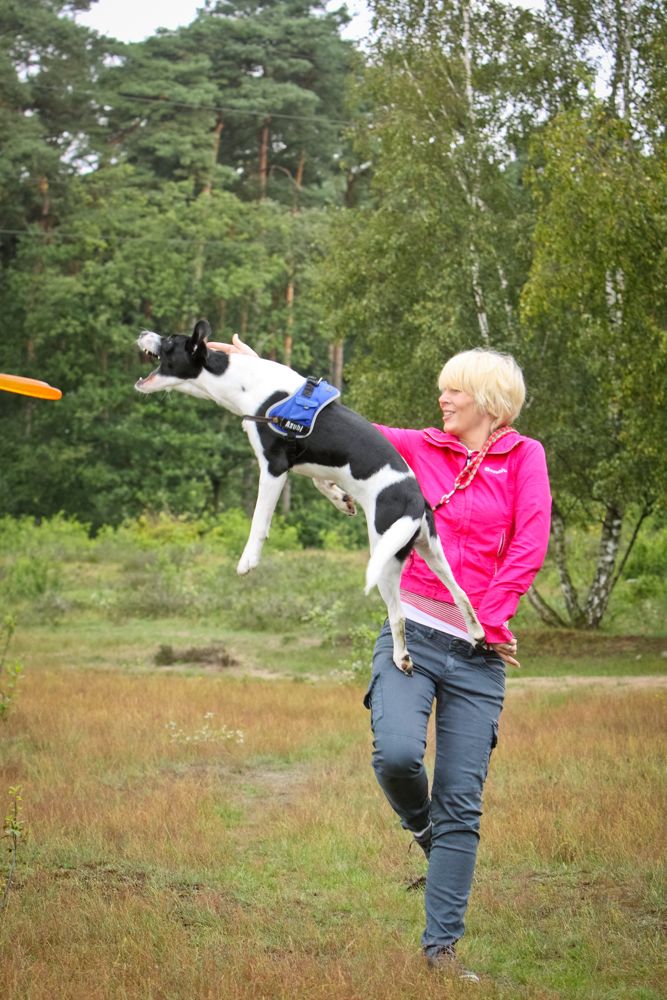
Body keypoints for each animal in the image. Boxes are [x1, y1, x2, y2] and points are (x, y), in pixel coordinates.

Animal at [136, 320, 486, 672]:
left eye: (170, 340)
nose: (141, 333)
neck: (242, 382)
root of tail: (414, 498)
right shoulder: (310, 461)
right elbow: (322, 483)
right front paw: (340, 499)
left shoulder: (274, 466)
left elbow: (259, 520)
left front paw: (248, 560)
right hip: (432, 551)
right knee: (460, 594)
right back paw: (477, 633)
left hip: (386, 557)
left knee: (398, 616)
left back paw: (402, 658)